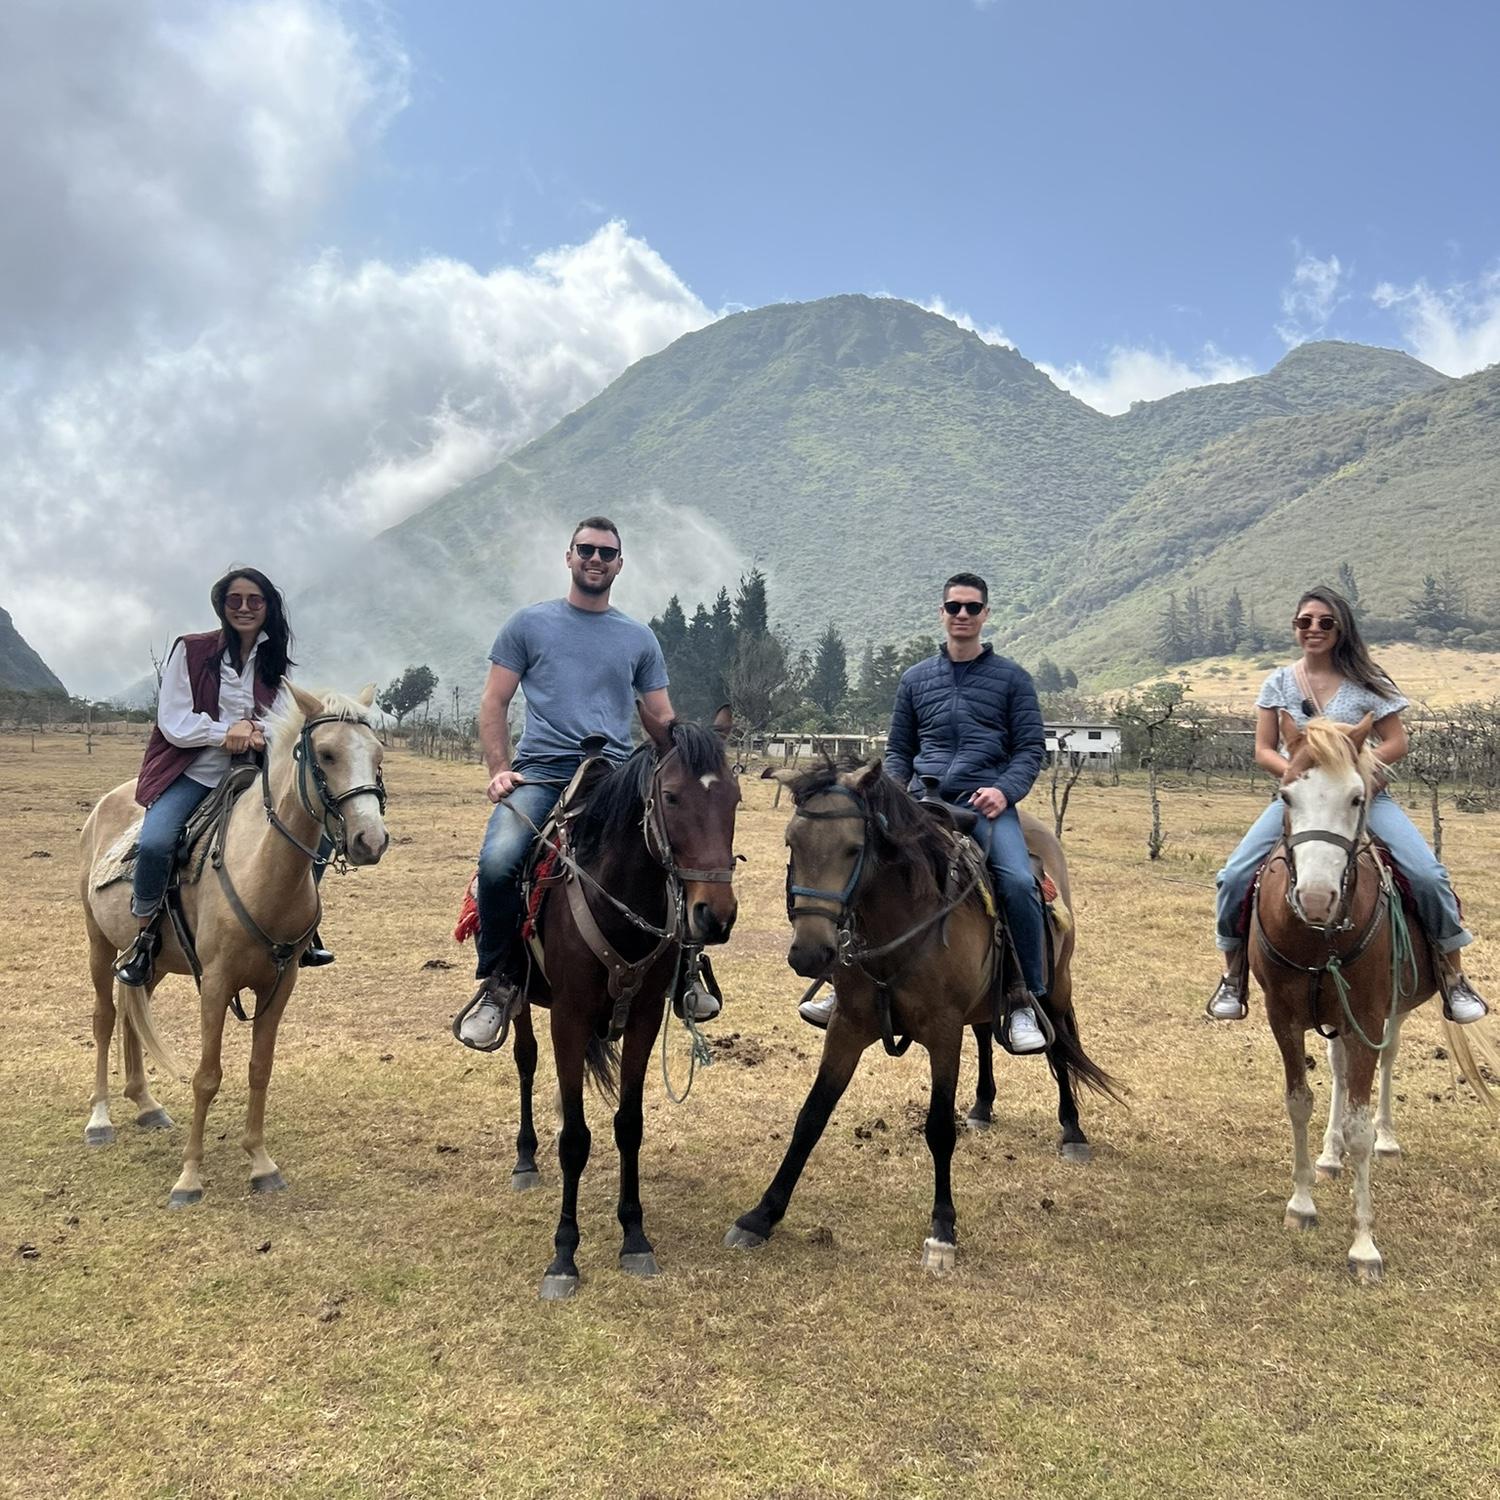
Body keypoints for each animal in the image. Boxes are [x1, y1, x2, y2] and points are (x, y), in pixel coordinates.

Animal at [78, 685, 389, 1206]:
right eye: (326, 755)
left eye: (379, 755)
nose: (372, 839)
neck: (262, 870)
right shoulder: (216, 983)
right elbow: (207, 1077)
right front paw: (189, 1177)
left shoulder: (281, 984)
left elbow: (260, 1068)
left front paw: (261, 1164)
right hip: (98, 941)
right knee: (104, 1017)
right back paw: (100, 1118)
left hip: (150, 960)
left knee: (131, 1013)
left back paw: (145, 1104)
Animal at [505, 707, 741, 1300]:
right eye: (672, 797)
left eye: (735, 797)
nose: (715, 916)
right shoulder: (569, 1018)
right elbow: (574, 1137)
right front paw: (564, 1255)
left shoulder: (644, 1017)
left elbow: (629, 1125)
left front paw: (634, 1236)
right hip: (523, 1001)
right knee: (525, 1061)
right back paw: (525, 1158)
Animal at [726, 759, 1119, 1274]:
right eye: (792, 842)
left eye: (854, 848)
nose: (811, 953)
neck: (904, 924)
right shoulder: (847, 1026)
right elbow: (811, 1115)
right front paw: (761, 1215)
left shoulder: (942, 1032)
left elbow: (938, 1128)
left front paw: (942, 1230)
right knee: (986, 1034)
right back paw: (983, 1107)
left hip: (1054, 987)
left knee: (1058, 1050)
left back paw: (1071, 1129)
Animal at [1250, 712, 1496, 1283]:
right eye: (1286, 795)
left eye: (1358, 797)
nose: (1316, 898)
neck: (1318, 936)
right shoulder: (1284, 1017)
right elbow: (1299, 1102)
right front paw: (1302, 1203)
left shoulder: (1367, 1013)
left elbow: (1360, 1126)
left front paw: (1364, 1246)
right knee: (1340, 1071)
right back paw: (1329, 1154)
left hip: (1393, 1010)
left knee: (1385, 1064)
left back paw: (1385, 1139)